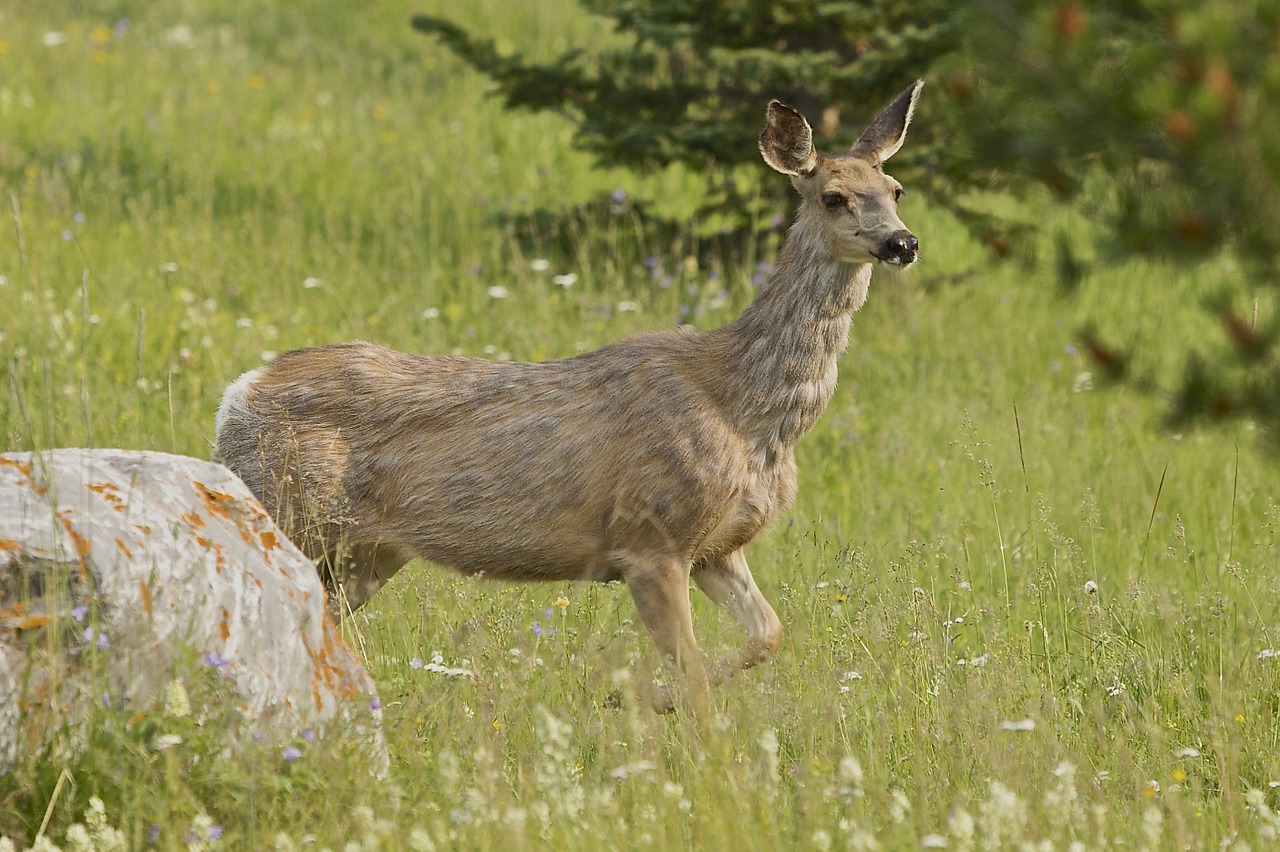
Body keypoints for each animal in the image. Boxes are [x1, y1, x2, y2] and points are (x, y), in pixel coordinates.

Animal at [217, 83, 921, 711]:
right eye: (833, 197)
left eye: (895, 190)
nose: (903, 243)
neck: (748, 412)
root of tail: (237, 394)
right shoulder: (649, 537)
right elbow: (697, 678)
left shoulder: (718, 547)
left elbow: (768, 635)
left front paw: (637, 698)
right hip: (285, 505)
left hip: (367, 550)